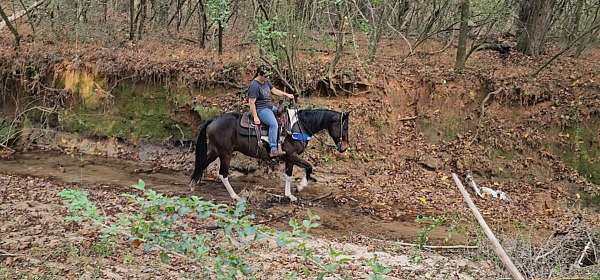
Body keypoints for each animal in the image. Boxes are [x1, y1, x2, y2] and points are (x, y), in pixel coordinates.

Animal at [188, 107, 346, 201]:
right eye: (343, 127)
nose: (343, 148)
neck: (299, 126)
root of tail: (213, 120)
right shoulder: (292, 155)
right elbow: (309, 167)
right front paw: (300, 187)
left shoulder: (289, 158)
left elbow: (288, 175)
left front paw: (289, 195)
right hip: (225, 153)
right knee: (223, 174)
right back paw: (235, 196)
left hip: (215, 151)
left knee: (202, 163)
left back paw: (192, 186)